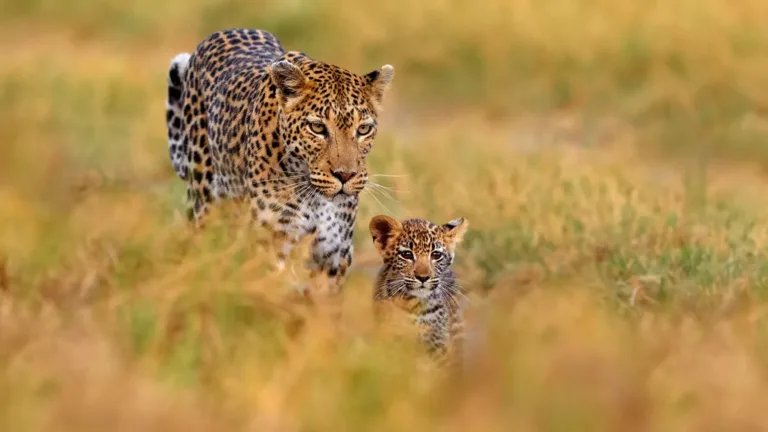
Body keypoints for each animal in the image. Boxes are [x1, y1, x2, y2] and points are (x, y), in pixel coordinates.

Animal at [165, 28, 394, 298]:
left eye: (363, 129)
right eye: (317, 128)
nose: (345, 176)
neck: (315, 197)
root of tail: (222, 32)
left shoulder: (334, 253)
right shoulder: (272, 242)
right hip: (205, 205)